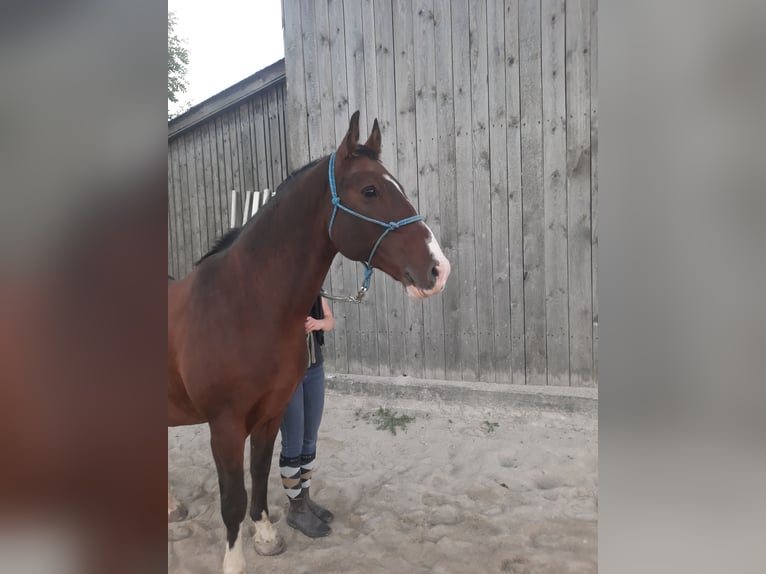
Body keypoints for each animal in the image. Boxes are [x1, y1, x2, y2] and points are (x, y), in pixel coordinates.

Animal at [170, 112, 450, 574]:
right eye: (370, 190)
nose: (438, 269)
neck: (240, 303)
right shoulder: (225, 425)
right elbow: (232, 499)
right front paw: (234, 561)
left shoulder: (270, 414)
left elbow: (260, 475)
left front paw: (266, 536)